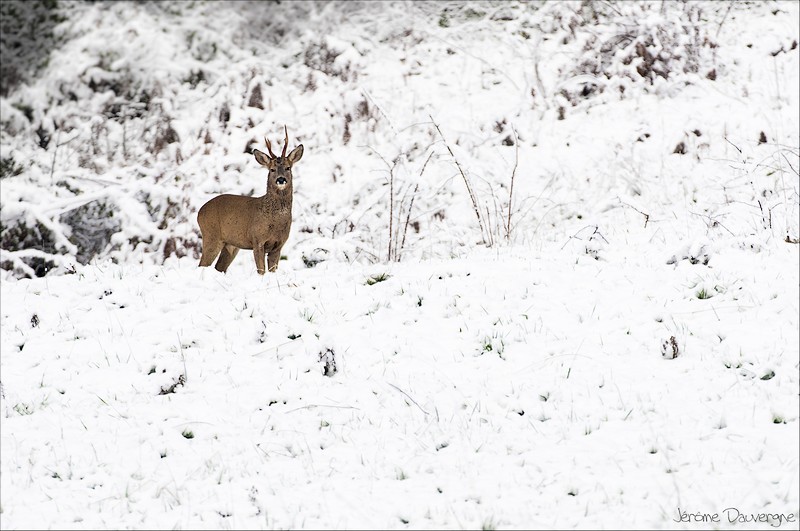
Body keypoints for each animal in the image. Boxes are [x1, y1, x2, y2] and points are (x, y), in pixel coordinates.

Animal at [197, 124, 304, 274]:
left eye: (288, 168)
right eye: (272, 169)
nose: (281, 179)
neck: (274, 221)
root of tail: (199, 212)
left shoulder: (278, 245)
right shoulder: (257, 240)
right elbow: (261, 271)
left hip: (230, 245)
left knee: (219, 267)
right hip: (211, 236)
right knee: (202, 264)